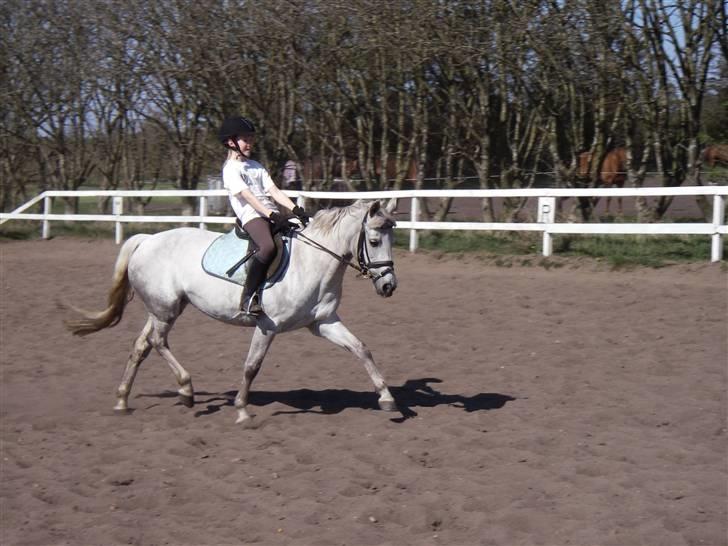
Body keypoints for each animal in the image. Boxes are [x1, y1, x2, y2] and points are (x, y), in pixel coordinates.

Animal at [62, 200, 398, 424]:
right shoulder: (267, 326)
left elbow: (361, 349)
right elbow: (252, 366)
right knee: (157, 343)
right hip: (165, 310)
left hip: (162, 309)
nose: (389, 286)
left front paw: (387, 398)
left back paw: (122, 400)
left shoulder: (323, 322)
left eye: (391, 240)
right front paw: (241, 410)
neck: (310, 262)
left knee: (141, 346)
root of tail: (147, 240)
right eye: (373, 241)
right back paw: (185, 389)